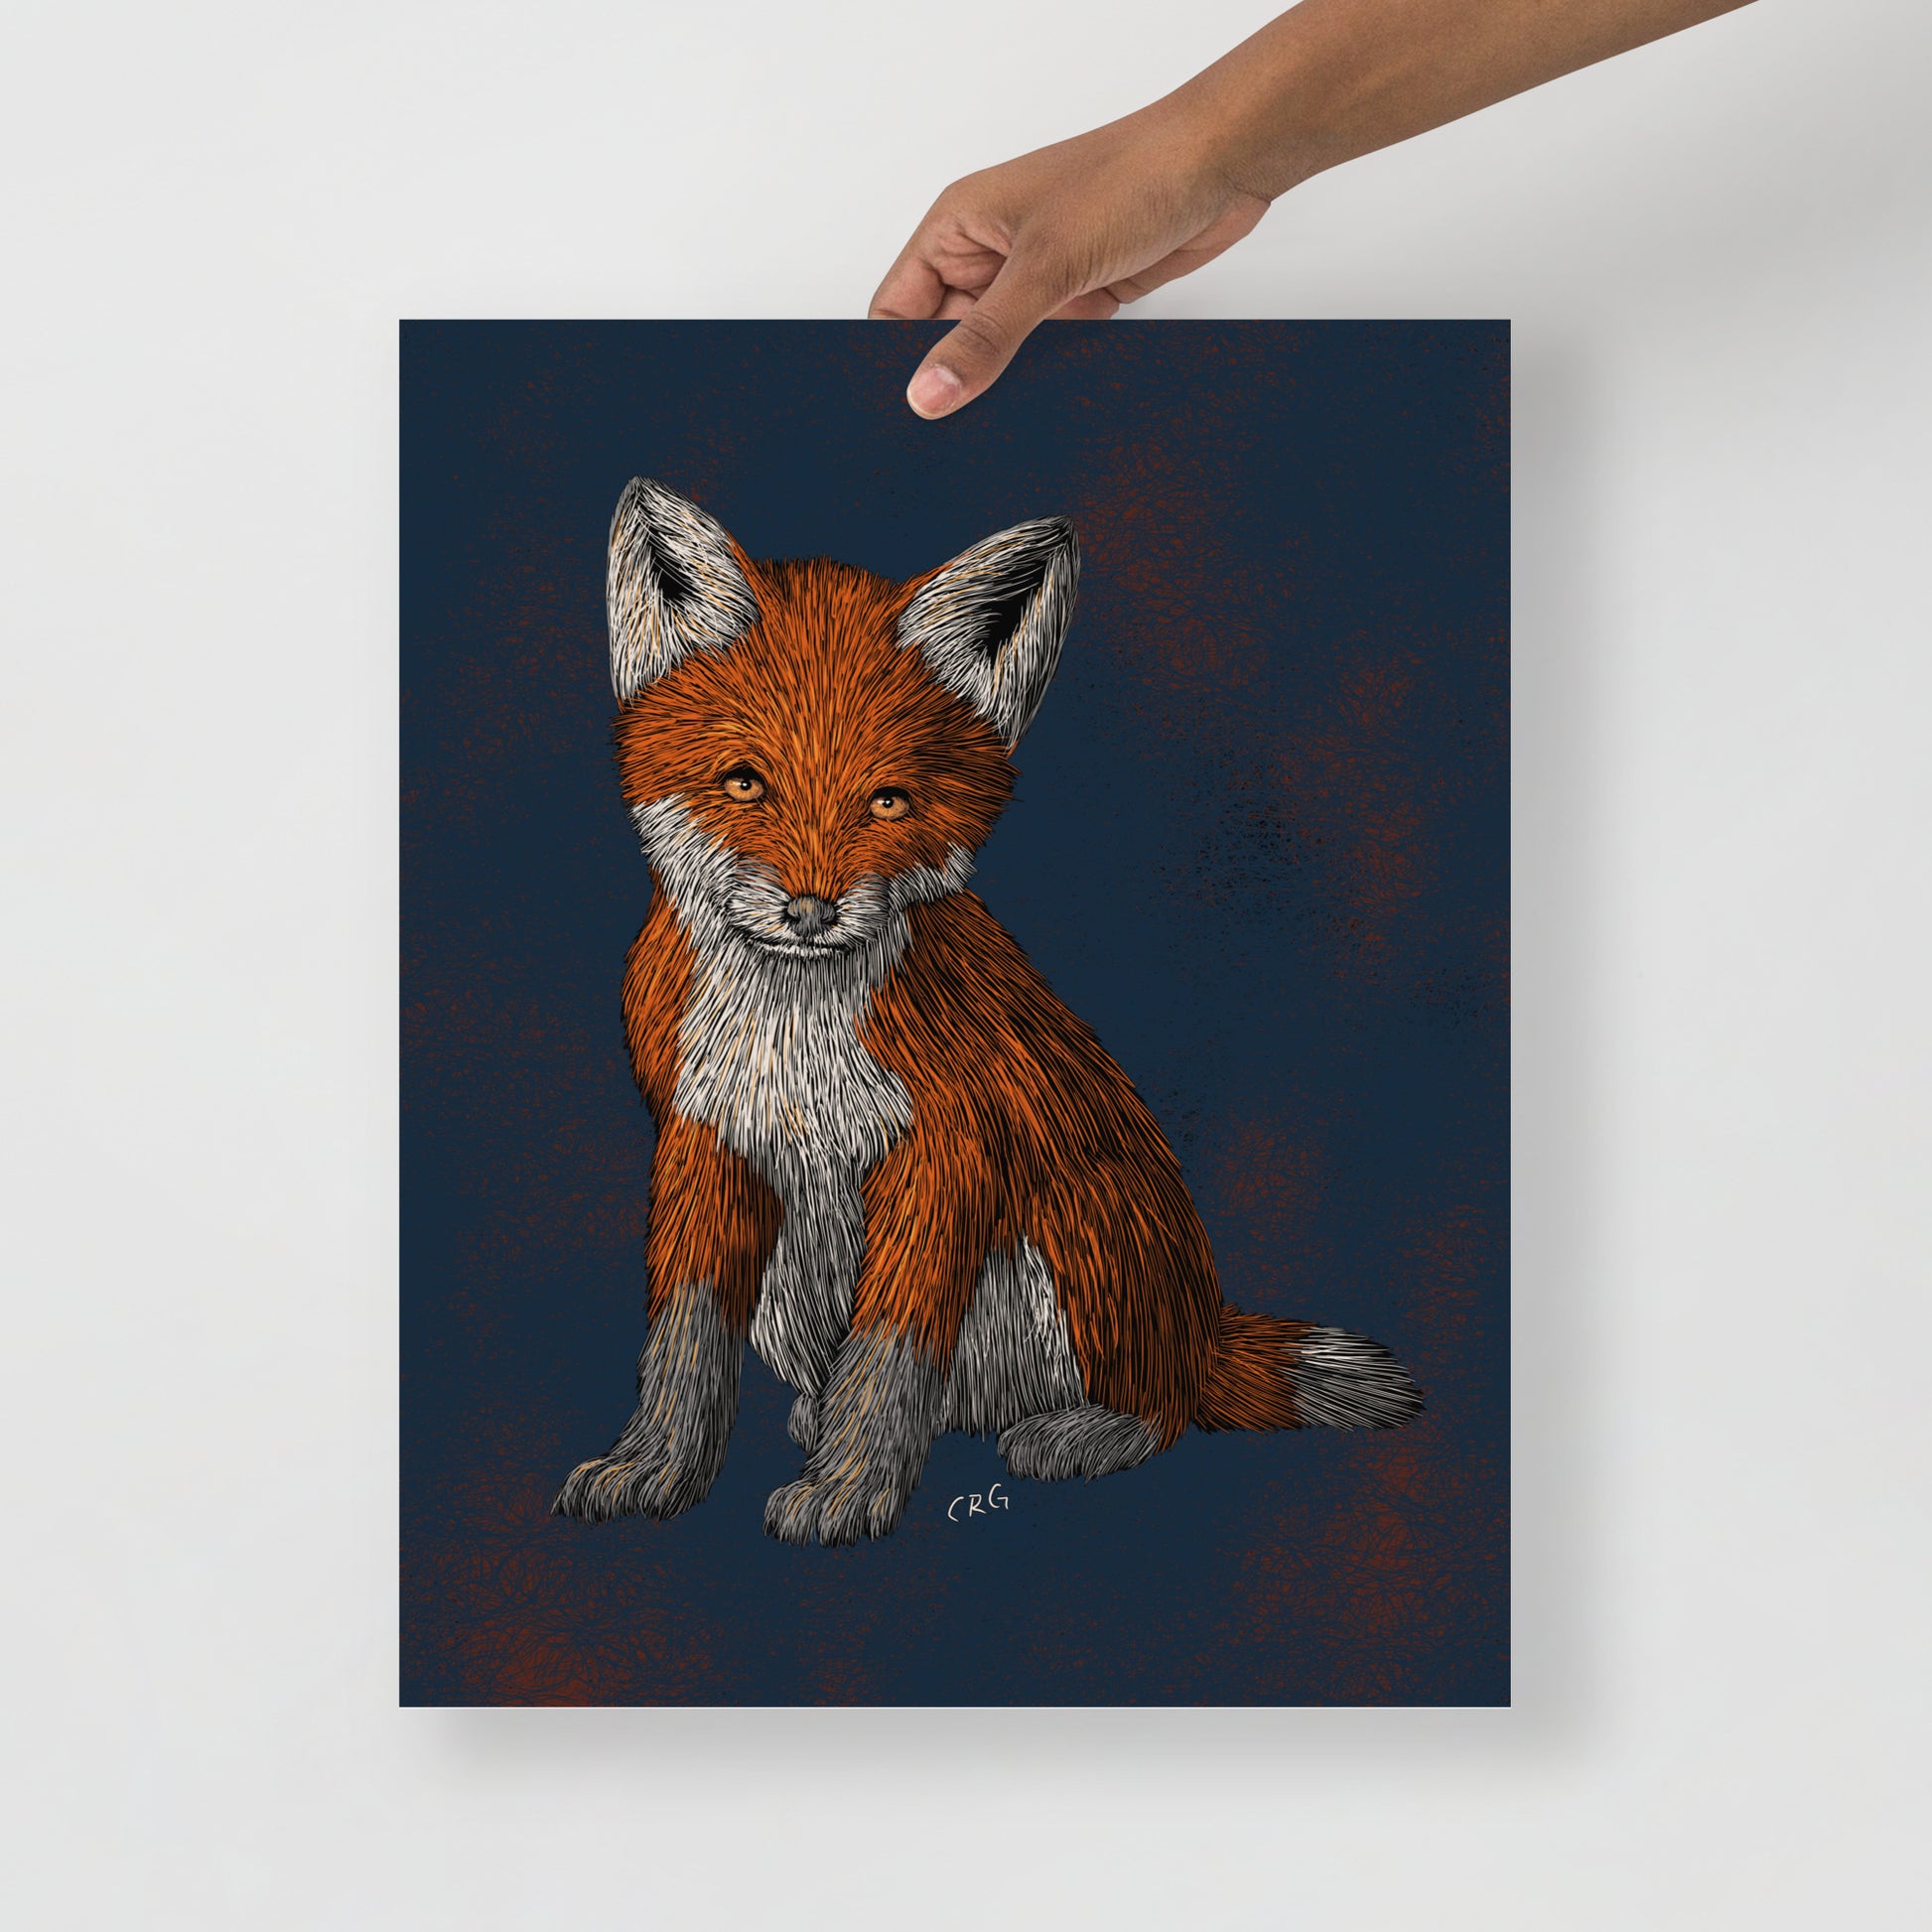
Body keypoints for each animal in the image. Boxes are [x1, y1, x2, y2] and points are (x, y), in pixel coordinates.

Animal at [552, 478, 1423, 1548]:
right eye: (745, 782)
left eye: (888, 801)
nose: (811, 910)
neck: (791, 1038)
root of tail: (1201, 1323)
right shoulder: (701, 1136)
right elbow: (682, 1338)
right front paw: (656, 1466)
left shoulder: (949, 1150)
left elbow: (888, 1351)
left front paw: (850, 1488)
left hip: (1082, 1236)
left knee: (1162, 1406)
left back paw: (1080, 1430)